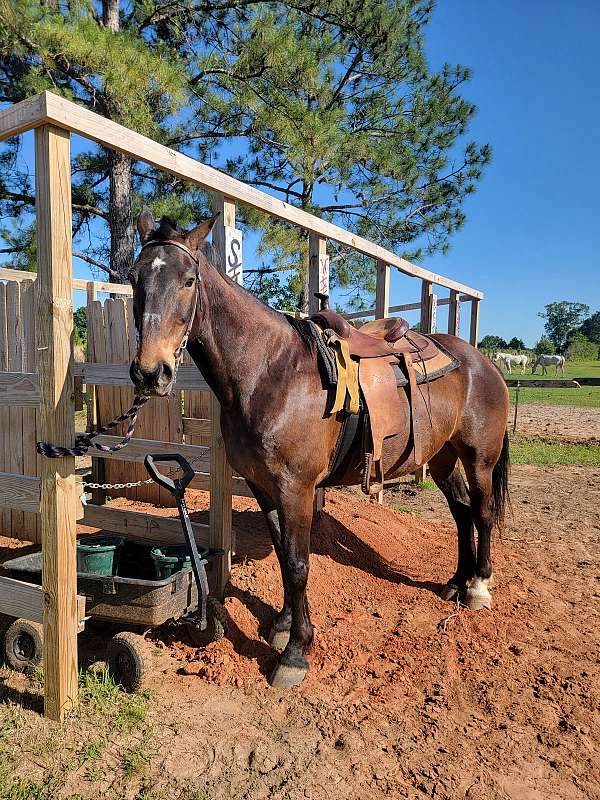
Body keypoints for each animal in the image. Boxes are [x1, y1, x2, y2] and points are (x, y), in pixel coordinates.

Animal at [127, 212, 510, 688]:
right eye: (133, 277)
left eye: (189, 280)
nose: (150, 372)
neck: (269, 371)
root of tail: (483, 362)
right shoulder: (263, 486)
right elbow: (283, 555)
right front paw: (282, 625)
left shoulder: (297, 488)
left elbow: (297, 563)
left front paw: (295, 652)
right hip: (442, 457)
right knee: (460, 512)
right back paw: (456, 582)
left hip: (479, 458)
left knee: (482, 513)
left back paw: (478, 587)